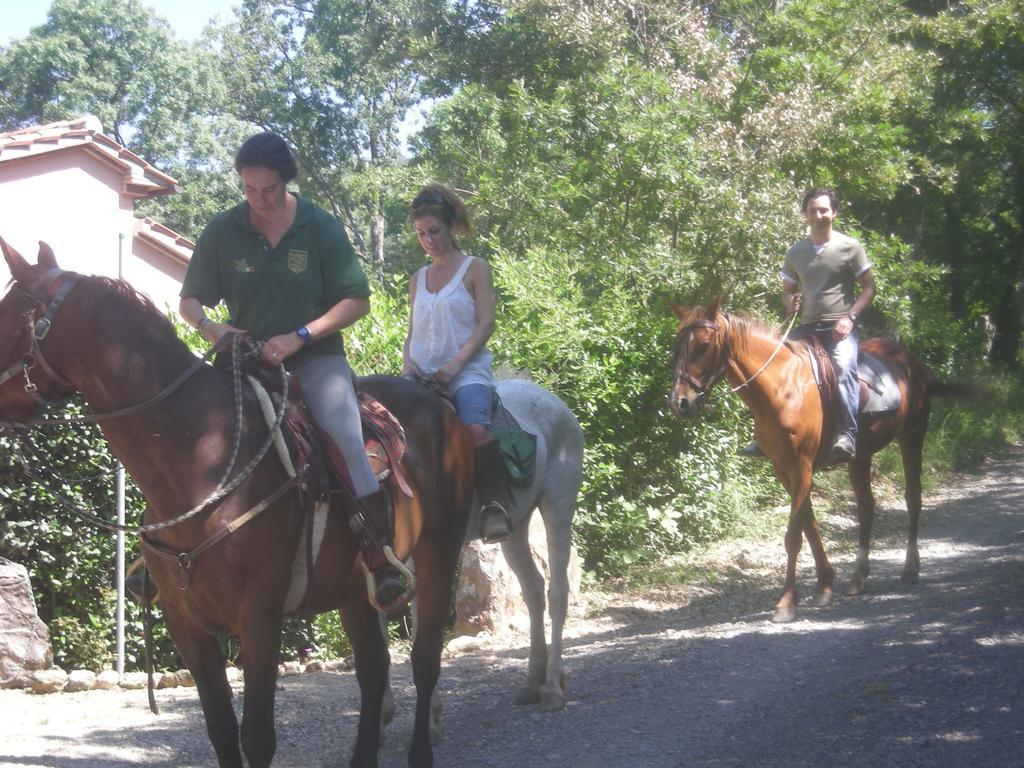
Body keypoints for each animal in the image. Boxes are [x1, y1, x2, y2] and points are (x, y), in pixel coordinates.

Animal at [0, 240, 471, 768]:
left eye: (8, 314)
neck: (198, 456)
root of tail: (437, 403)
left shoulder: (259, 617)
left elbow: (258, 735)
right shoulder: (186, 623)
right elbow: (221, 729)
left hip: (437, 558)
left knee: (425, 660)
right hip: (355, 590)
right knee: (374, 670)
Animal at [667, 299, 933, 626]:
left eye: (703, 345)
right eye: (676, 344)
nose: (679, 403)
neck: (781, 388)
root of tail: (907, 357)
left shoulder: (801, 467)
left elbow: (794, 535)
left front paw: (787, 603)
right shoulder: (783, 469)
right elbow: (809, 524)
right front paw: (825, 584)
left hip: (913, 435)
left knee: (913, 498)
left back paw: (910, 568)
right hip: (860, 456)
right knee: (866, 507)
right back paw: (858, 577)